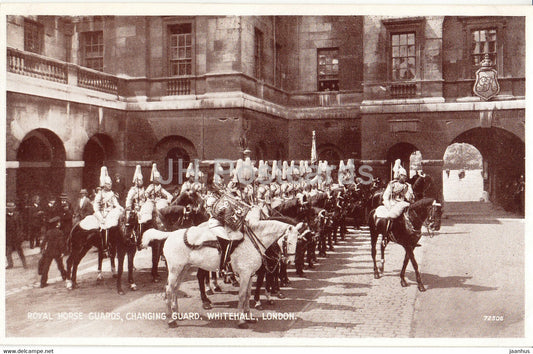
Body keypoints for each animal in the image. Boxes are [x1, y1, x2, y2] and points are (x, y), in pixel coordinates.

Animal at [140, 206, 300, 328]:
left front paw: (249, 317)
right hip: (175, 270)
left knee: (174, 289)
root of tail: (170, 234)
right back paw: (171, 319)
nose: (289, 261)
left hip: (183, 269)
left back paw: (176, 314)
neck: (252, 241)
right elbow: (242, 295)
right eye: (288, 241)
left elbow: (248, 295)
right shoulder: (244, 275)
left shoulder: (250, 275)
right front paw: (241, 320)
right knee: (169, 290)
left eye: (298, 240)